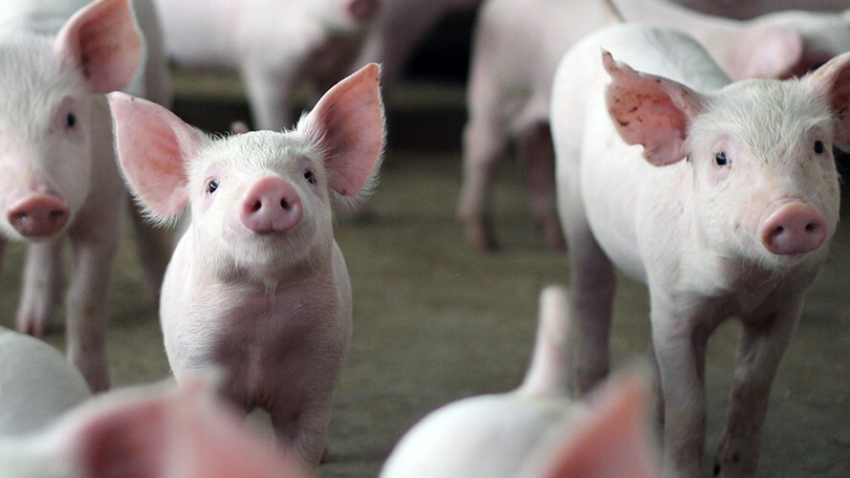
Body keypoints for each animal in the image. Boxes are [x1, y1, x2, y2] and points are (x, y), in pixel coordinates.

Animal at [0, 0, 155, 392]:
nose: (37, 201)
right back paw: (33, 326)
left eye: (70, 118)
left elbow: (85, 300)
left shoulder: (104, 204)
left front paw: (94, 388)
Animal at [109, 63, 385, 473]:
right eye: (212, 184)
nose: (269, 186)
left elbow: (301, 444)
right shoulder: (199, 358)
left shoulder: (317, 371)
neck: (262, 321)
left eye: (309, 175)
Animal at [550, 23, 845, 477]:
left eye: (818, 147)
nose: (793, 211)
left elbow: (752, 387)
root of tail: (615, 25)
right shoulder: (676, 303)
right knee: (592, 292)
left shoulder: (786, 303)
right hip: (571, 195)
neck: (743, 284)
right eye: (721, 158)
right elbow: (690, 406)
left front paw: (731, 467)